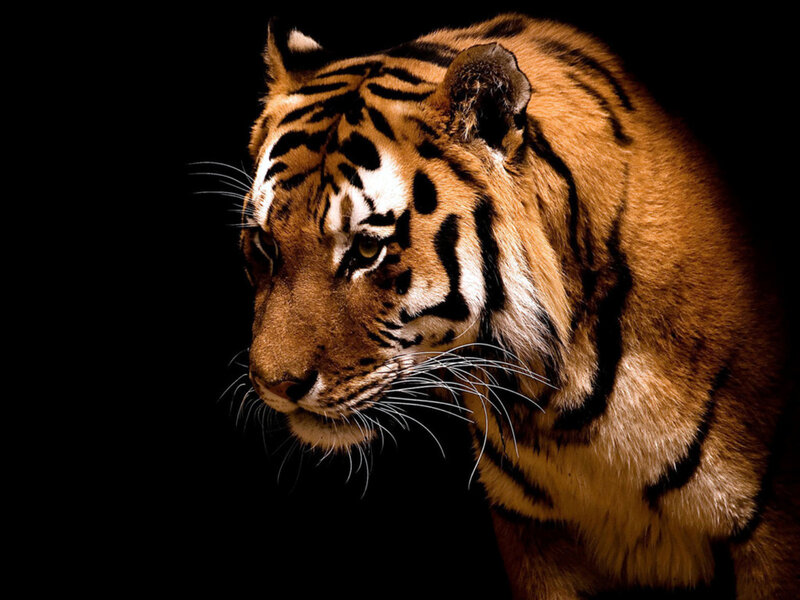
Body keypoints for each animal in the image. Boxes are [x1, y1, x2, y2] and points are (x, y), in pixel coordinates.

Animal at [239, 13, 799, 599]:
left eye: (367, 250)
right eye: (265, 245)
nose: (275, 386)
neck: (561, 406)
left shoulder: (772, 529)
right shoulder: (533, 530)